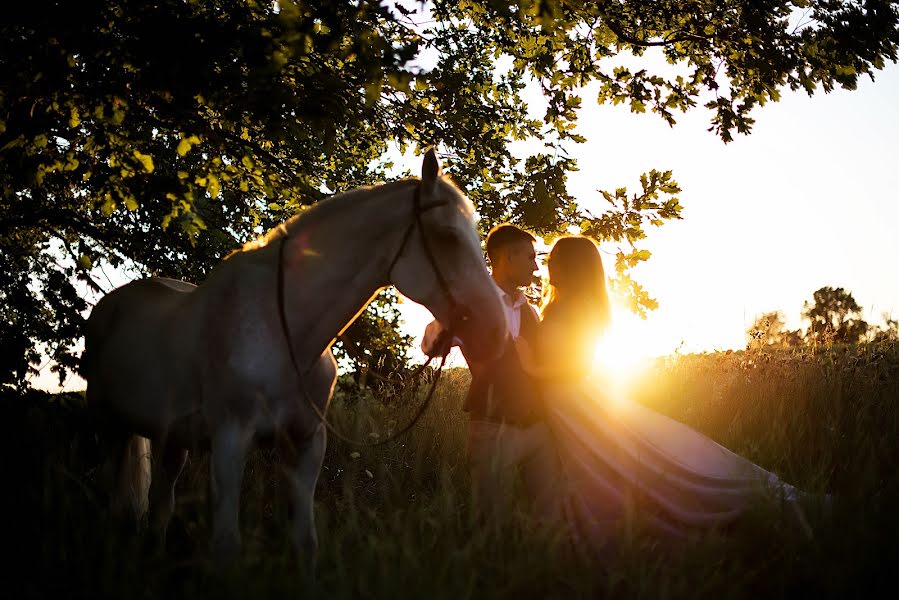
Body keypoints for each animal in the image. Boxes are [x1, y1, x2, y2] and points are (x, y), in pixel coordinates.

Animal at [81, 150, 510, 564]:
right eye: (447, 236)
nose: (498, 330)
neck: (281, 329)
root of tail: (110, 304)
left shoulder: (306, 443)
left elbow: (305, 542)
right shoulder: (229, 441)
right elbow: (226, 546)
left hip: (171, 440)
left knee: (161, 505)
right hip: (109, 425)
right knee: (114, 501)